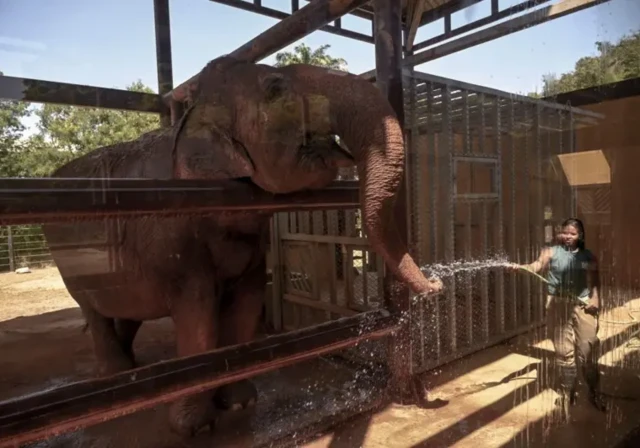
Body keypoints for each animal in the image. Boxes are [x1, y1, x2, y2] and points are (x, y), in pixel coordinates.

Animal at [41, 56, 443, 437]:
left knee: (127, 311)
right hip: (71, 268)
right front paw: (195, 427)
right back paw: (115, 377)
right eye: (276, 87)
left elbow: (246, 307)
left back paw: (130, 374)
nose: (438, 284)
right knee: (94, 312)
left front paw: (239, 403)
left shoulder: (252, 249)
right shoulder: (176, 239)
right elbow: (199, 315)